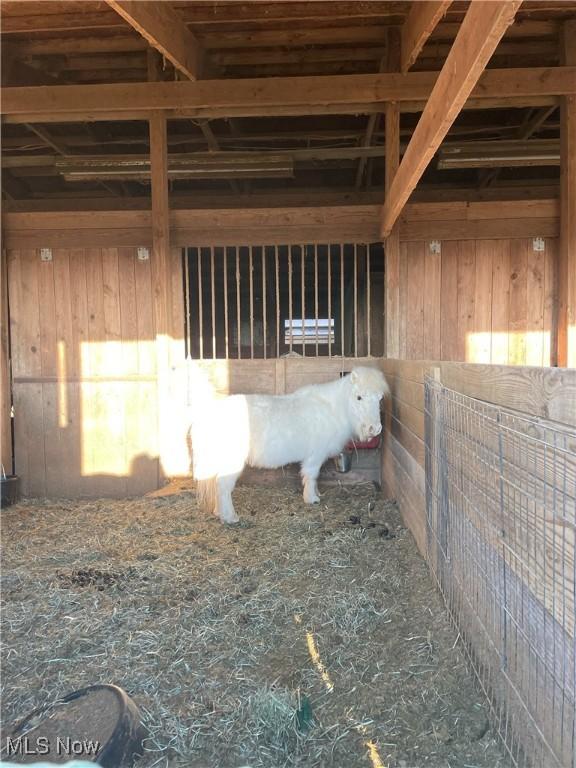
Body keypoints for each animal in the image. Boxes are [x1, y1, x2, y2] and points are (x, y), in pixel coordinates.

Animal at [191, 368, 390, 524]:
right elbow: (311, 476)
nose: (375, 428)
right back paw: (230, 517)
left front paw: (316, 494)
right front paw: (312, 498)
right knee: (223, 486)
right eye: (359, 397)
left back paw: (219, 512)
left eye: (380, 398)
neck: (331, 408)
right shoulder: (314, 456)